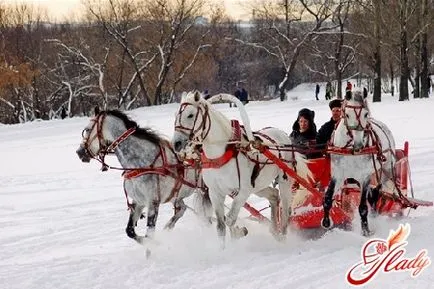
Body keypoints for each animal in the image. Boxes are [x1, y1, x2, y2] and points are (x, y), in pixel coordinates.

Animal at [78, 107, 214, 243]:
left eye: (87, 129)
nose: (79, 152)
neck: (142, 164)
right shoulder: (138, 202)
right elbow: (130, 231)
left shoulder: (153, 203)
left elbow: (149, 235)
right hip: (176, 196)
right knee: (182, 209)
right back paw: (168, 226)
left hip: (204, 191)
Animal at [171, 91, 310, 244]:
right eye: (176, 115)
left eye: (190, 115)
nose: (176, 143)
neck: (220, 155)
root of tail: (284, 136)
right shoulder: (215, 193)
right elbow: (220, 226)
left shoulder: (243, 191)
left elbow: (229, 220)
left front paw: (238, 233)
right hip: (258, 185)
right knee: (274, 195)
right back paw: (275, 231)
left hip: (284, 181)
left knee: (285, 211)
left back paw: (283, 238)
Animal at [322, 87, 400, 234]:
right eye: (346, 114)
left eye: (365, 114)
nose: (358, 145)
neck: (350, 150)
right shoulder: (338, 174)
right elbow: (328, 197)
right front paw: (326, 222)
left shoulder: (365, 176)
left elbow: (363, 207)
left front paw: (366, 230)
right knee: (373, 194)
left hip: (385, 170)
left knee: (378, 192)